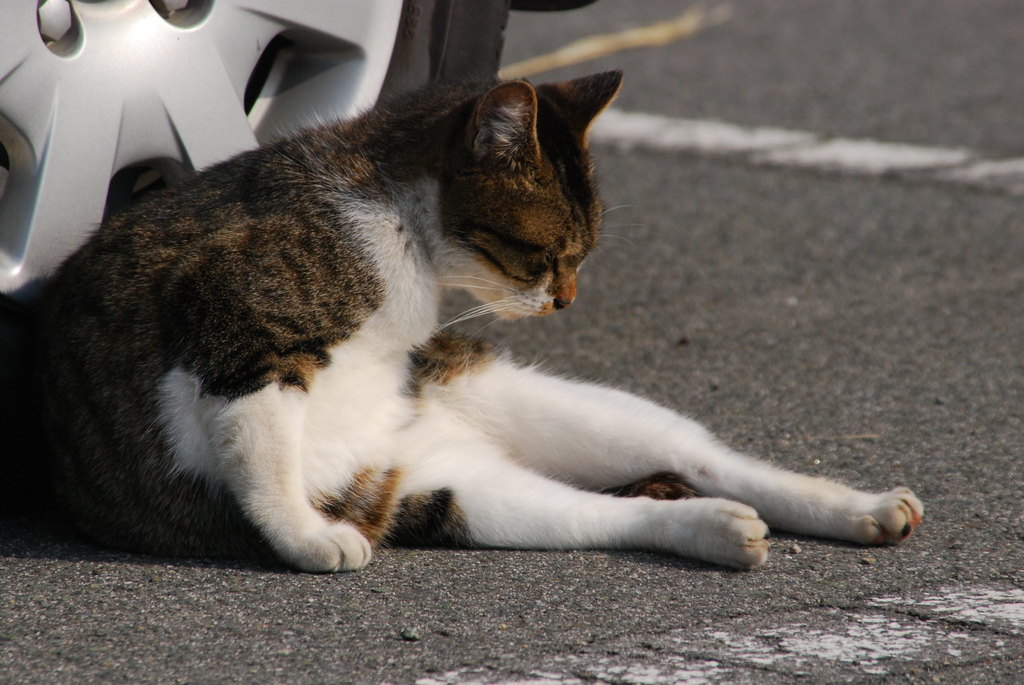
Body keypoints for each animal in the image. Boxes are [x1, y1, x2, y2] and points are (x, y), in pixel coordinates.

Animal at [37, 70, 921, 573]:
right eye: (546, 254)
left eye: (582, 256)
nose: (568, 300)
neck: (398, 236)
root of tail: (429, 433)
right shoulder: (239, 325)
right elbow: (260, 456)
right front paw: (305, 537)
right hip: (448, 492)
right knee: (618, 512)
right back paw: (720, 531)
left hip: (544, 405)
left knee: (706, 457)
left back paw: (862, 507)